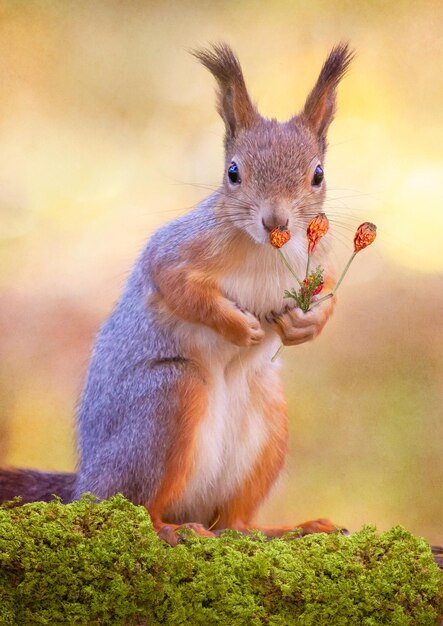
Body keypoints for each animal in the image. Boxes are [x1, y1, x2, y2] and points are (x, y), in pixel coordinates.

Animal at [0, 42, 354, 540]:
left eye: (318, 175)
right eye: (233, 172)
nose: (276, 221)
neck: (265, 251)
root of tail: (85, 485)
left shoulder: (319, 266)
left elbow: (330, 300)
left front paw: (303, 325)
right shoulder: (174, 252)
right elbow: (177, 286)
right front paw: (238, 326)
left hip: (268, 422)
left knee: (236, 524)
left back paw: (288, 529)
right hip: (166, 402)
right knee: (135, 507)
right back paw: (170, 528)